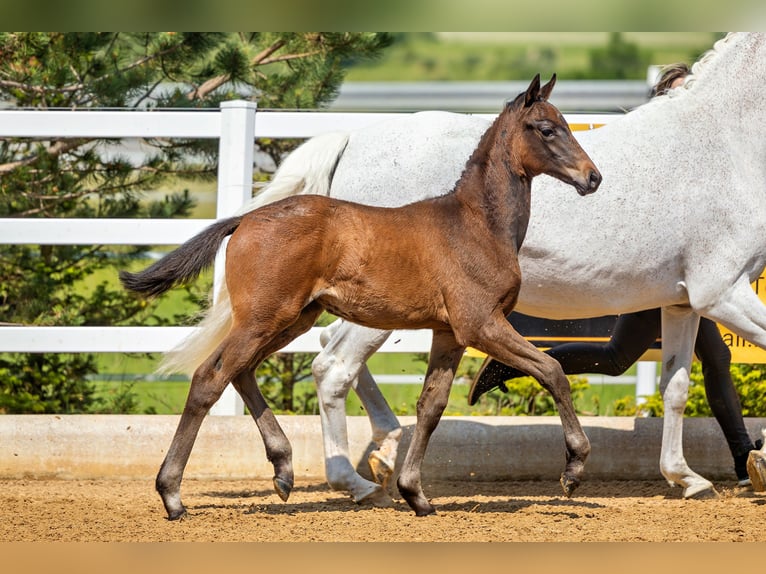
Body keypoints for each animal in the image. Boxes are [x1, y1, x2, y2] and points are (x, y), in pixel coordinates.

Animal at [120, 74, 604, 520]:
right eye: (547, 129)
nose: (593, 177)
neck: (476, 224)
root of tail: (244, 220)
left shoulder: (450, 333)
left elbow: (431, 405)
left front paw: (415, 495)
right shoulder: (481, 324)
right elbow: (552, 370)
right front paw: (574, 469)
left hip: (291, 319)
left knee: (240, 373)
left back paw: (284, 471)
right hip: (264, 318)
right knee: (209, 379)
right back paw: (173, 495)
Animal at [166, 32, 766, 508]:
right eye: (547, 129)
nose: (593, 178)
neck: (723, 144)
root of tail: (351, 136)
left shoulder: (684, 301)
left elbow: (676, 387)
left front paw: (687, 478)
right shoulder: (723, 292)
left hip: (325, 308)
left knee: (314, 360)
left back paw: (376, 454)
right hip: (342, 312)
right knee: (327, 368)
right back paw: (350, 478)